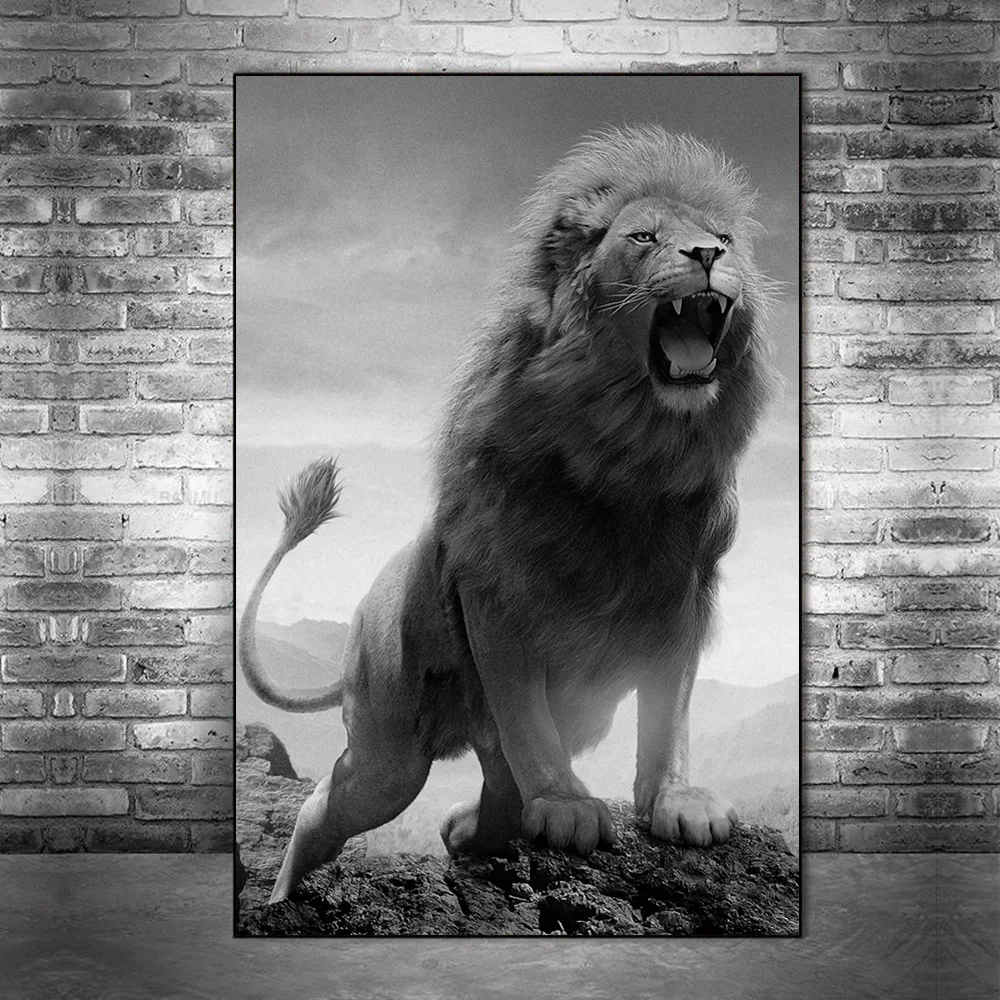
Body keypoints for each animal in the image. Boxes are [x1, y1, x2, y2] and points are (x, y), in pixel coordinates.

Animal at [240, 126, 776, 904]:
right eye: (644, 237)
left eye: (725, 239)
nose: (706, 256)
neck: (630, 453)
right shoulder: (497, 595)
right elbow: (527, 718)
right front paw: (565, 805)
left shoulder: (682, 595)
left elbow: (667, 714)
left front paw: (676, 801)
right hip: (388, 748)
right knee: (332, 804)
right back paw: (282, 898)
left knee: (490, 792)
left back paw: (468, 828)